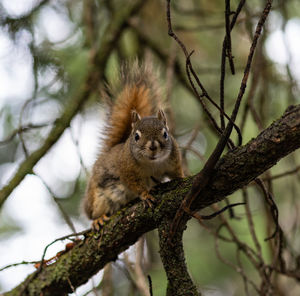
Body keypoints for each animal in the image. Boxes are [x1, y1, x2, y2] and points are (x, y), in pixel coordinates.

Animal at [83, 61, 184, 230]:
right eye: (136, 136)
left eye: (165, 134)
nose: (153, 147)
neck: (153, 163)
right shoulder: (127, 169)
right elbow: (135, 184)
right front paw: (145, 195)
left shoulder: (173, 161)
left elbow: (177, 173)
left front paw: (184, 179)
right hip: (97, 197)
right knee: (93, 213)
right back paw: (98, 219)